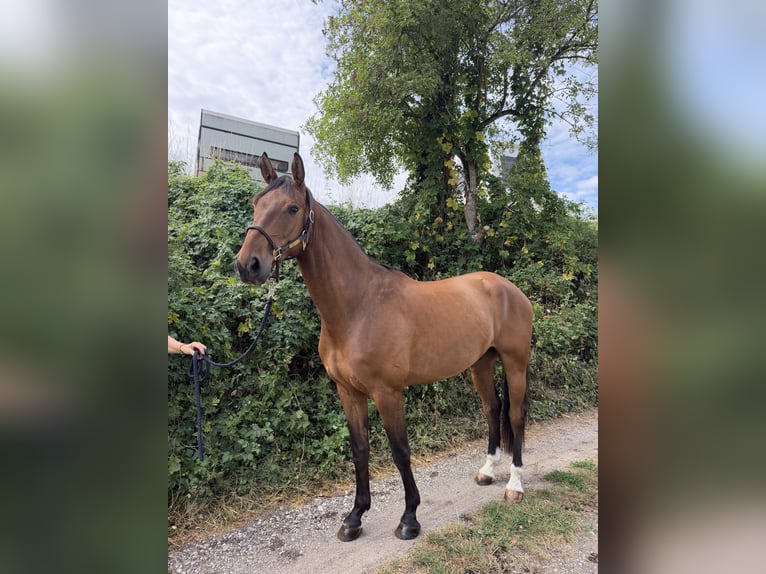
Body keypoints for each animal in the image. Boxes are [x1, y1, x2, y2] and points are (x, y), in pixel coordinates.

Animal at [235, 152, 533, 542]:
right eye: (256, 203)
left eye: (292, 207)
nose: (247, 265)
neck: (358, 306)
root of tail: (509, 289)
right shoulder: (349, 392)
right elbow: (360, 450)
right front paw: (354, 518)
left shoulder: (388, 392)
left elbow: (400, 451)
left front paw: (409, 519)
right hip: (480, 363)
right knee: (491, 408)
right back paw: (486, 471)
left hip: (514, 363)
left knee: (514, 415)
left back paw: (514, 485)